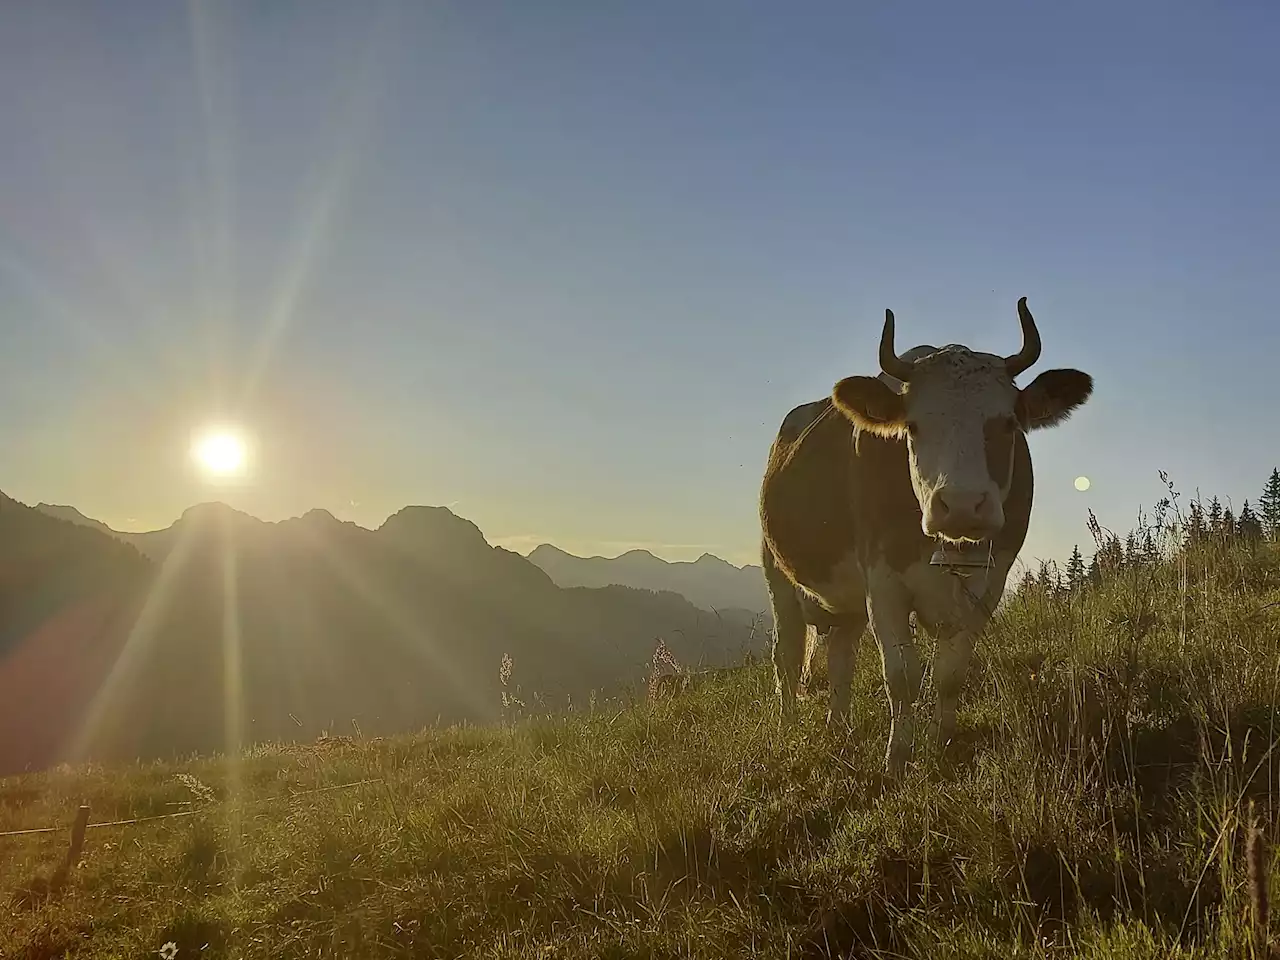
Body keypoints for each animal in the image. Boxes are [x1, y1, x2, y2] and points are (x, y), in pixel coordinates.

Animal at [752, 300, 1095, 783]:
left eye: (1007, 422)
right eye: (913, 427)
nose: (963, 504)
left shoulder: (988, 586)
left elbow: (950, 674)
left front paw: (941, 743)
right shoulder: (883, 582)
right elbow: (901, 675)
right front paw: (897, 759)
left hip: (847, 601)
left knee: (840, 657)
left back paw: (840, 728)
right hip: (777, 572)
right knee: (786, 656)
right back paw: (789, 728)